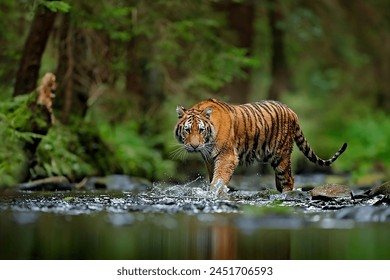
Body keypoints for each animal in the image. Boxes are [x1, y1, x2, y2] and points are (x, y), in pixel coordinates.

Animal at [174, 98, 348, 192]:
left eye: (201, 130)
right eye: (187, 130)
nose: (194, 146)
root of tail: (292, 111)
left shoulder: (227, 156)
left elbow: (219, 179)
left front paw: (215, 193)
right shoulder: (209, 159)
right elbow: (213, 178)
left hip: (281, 155)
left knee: (289, 179)